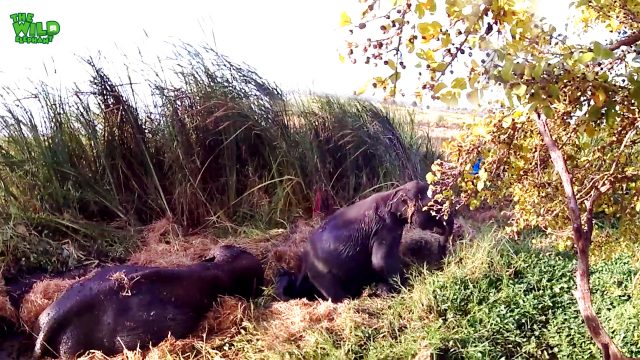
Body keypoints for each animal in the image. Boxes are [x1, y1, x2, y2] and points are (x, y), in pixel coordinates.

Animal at [278, 179, 452, 300]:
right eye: (433, 206)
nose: (442, 260)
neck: (394, 192)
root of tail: (304, 259)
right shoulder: (384, 227)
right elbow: (380, 261)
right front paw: (407, 283)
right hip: (322, 274)